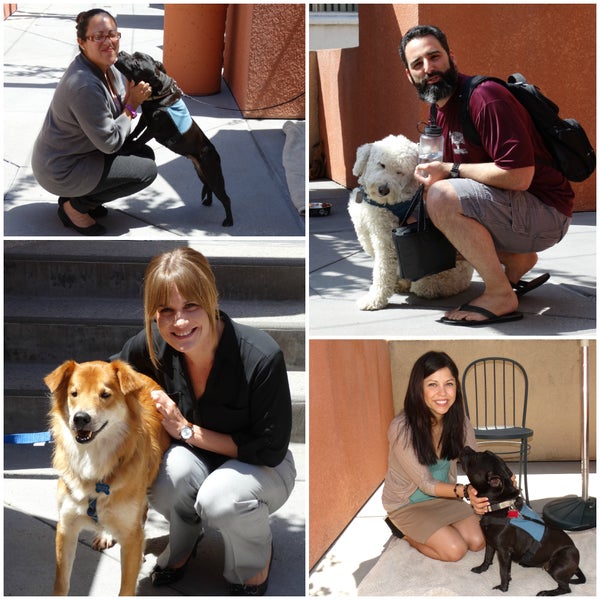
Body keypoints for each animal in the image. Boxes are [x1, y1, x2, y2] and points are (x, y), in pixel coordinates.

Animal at [45, 360, 169, 596]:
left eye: (105, 395)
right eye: (73, 393)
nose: (80, 418)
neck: (92, 459)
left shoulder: (131, 535)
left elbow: (127, 587)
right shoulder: (66, 526)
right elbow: (61, 583)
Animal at [116, 49, 233, 225]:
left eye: (136, 63)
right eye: (134, 54)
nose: (121, 52)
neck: (158, 93)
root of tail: (214, 152)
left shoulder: (153, 128)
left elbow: (139, 140)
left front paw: (126, 150)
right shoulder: (145, 119)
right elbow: (135, 133)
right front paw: (126, 142)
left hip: (213, 174)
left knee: (225, 198)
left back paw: (229, 221)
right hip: (202, 174)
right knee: (209, 189)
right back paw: (208, 202)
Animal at [346, 134, 474, 312]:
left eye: (400, 172)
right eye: (381, 164)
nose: (383, 189)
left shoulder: (386, 240)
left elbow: (383, 270)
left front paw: (374, 300)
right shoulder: (365, 230)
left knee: (436, 286)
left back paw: (427, 287)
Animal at [460, 446, 584, 596]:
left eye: (477, 457)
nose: (466, 447)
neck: (501, 506)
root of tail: (576, 564)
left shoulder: (503, 552)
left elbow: (503, 572)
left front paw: (503, 588)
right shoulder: (489, 542)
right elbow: (487, 558)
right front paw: (481, 569)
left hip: (558, 566)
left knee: (566, 588)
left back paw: (546, 592)